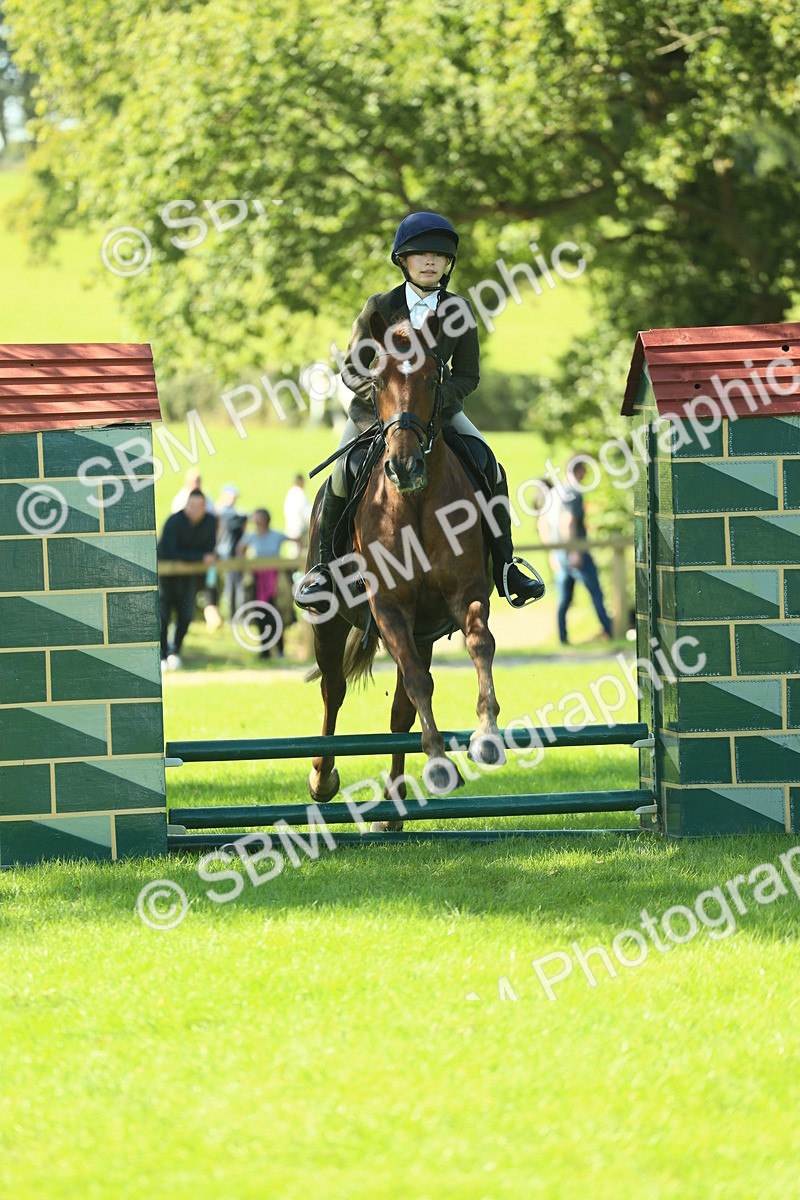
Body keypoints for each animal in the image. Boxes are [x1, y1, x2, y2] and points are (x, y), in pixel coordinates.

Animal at [305, 308, 507, 831]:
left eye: (433, 377)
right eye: (377, 381)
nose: (403, 466)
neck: (415, 500)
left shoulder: (466, 592)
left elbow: (479, 646)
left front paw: (486, 737)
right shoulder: (389, 606)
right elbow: (418, 681)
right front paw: (438, 763)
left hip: (423, 632)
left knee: (400, 713)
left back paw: (393, 807)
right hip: (329, 623)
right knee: (333, 691)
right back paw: (322, 778)